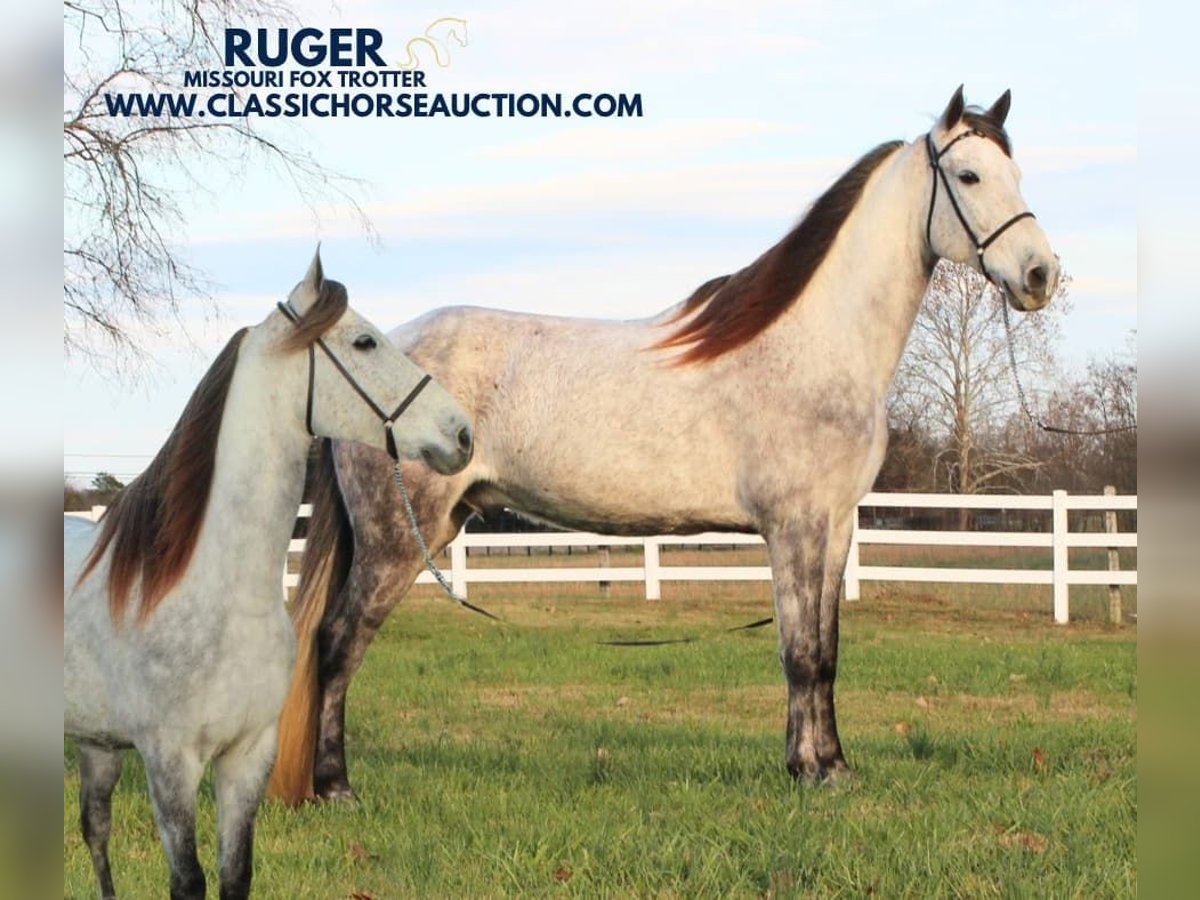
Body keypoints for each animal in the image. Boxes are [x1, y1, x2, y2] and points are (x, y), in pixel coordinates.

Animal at [267, 88, 1056, 806]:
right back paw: (334, 787)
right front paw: (811, 774)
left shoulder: (835, 527)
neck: (814, 344)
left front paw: (828, 766)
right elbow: (800, 653)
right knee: (337, 643)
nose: (1040, 275)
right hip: (398, 537)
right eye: (969, 176)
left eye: (1018, 173)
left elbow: (825, 652)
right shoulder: (794, 525)